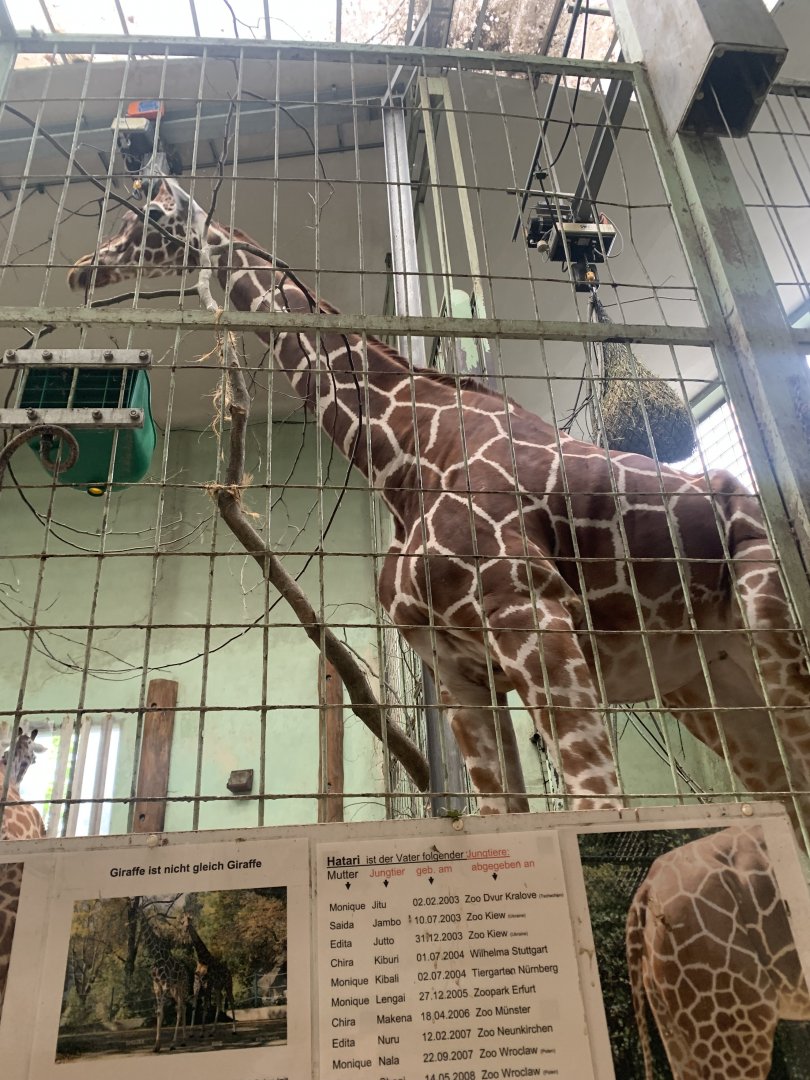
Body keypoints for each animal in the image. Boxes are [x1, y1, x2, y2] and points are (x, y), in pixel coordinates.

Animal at [68, 178, 810, 826]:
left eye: (147, 217)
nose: (81, 270)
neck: (405, 453)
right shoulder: (458, 671)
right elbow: (503, 813)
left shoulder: (533, 619)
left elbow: (598, 806)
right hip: (711, 684)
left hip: (772, 621)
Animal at [136, 903, 190, 1052]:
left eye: (138, 908)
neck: (155, 954)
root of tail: (185, 971)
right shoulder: (157, 985)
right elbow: (159, 1012)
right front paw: (156, 1045)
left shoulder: (165, 984)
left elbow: (161, 1011)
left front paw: (158, 1045)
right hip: (174, 989)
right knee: (181, 1007)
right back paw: (181, 1041)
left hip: (182, 986)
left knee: (181, 1008)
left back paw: (176, 1042)